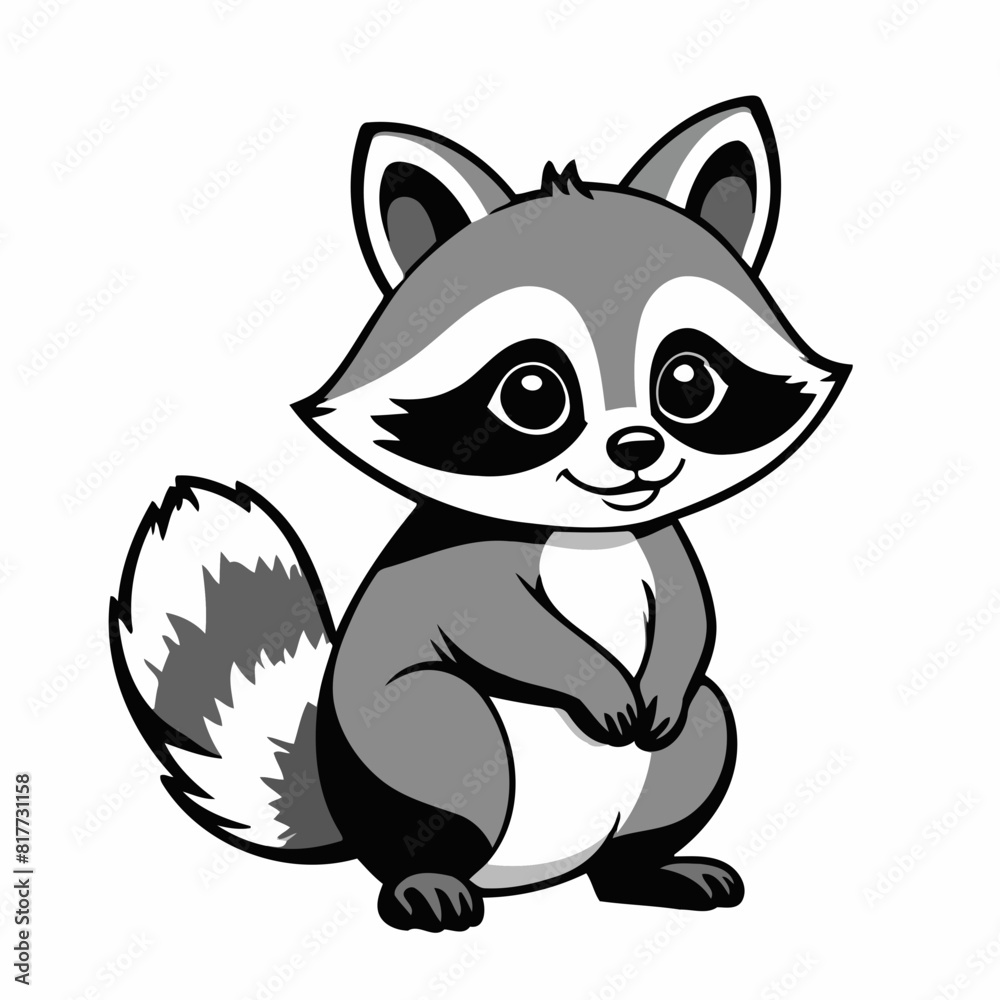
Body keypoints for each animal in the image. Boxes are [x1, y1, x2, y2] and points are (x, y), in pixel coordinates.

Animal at [110, 98, 849, 932]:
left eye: (688, 381)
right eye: (533, 392)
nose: (637, 449)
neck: (586, 536)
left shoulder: (655, 539)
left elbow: (692, 613)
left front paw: (660, 677)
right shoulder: (461, 559)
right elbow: (495, 623)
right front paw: (592, 679)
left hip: (673, 759)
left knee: (701, 724)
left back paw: (646, 868)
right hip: (406, 744)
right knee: (444, 739)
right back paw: (426, 879)